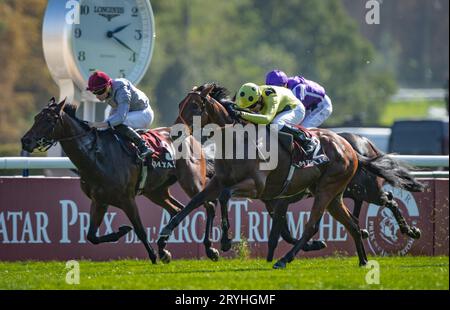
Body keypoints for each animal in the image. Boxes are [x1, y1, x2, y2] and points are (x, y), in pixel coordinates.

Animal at [21, 97, 221, 264]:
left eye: (49, 120)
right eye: (36, 117)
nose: (25, 141)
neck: (96, 156)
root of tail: (191, 137)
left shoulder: (127, 199)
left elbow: (140, 229)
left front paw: (152, 255)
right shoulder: (99, 201)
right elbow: (91, 236)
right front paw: (123, 231)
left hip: (191, 181)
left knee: (209, 206)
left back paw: (209, 250)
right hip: (155, 191)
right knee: (177, 210)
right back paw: (164, 248)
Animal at [159, 83, 408, 268]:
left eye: (194, 106)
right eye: (181, 104)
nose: (174, 133)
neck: (238, 140)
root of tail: (351, 148)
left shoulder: (257, 186)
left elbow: (225, 197)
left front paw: (226, 240)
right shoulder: (220, 183)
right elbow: (193, 203)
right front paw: (164, 238)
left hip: (333, 190)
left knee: (314, 225)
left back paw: (284, 259)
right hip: (334, 195)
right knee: (353, 224)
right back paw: (363, 260)